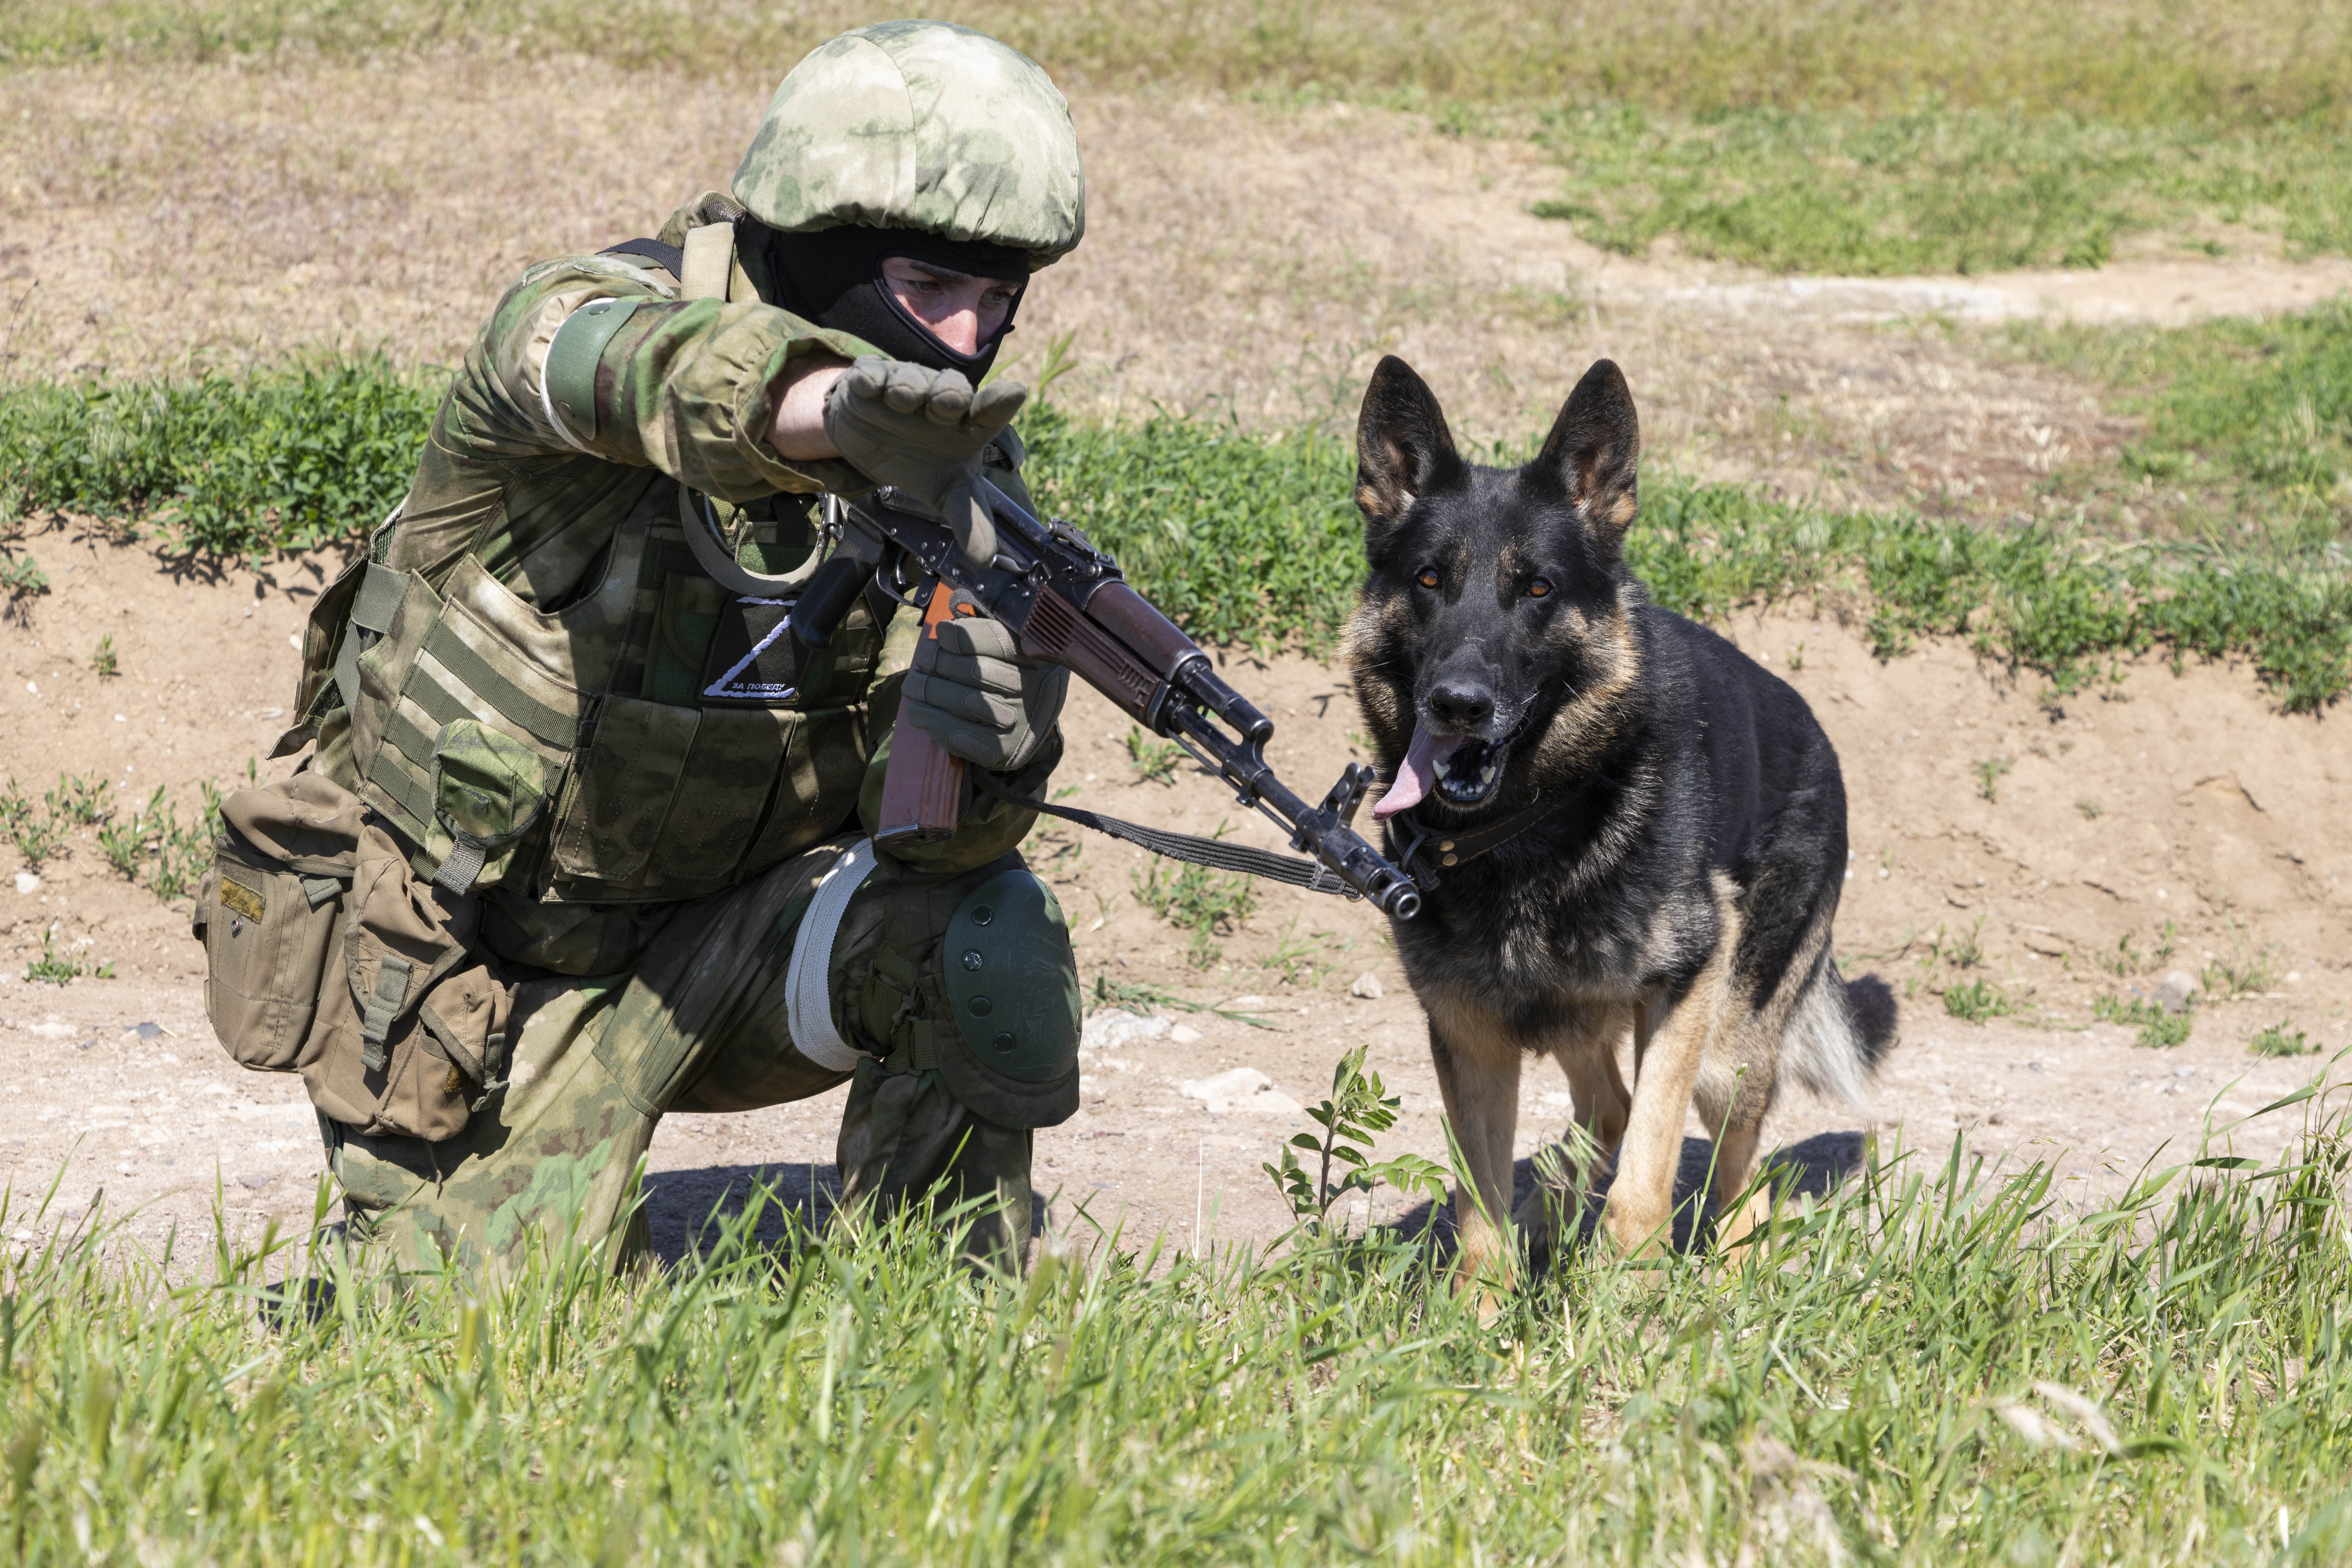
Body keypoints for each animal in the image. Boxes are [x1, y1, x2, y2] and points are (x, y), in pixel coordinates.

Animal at [1354, 355, 1882, 1279]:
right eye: (1428, 581)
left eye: (1536, 587)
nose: (1458, 704)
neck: (1530, 827)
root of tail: (1816, 727)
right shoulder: (1469, 1033)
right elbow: (1480, 1218)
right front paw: (1486, 1306)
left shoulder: (1686, 985)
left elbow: (1644, 1185)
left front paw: (1622, 1299)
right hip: (1575, 1010)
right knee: (1609, 1109)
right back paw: (1550, 1224)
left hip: (1723, 1051)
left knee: (1739, 1177)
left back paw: (1725, 1278)